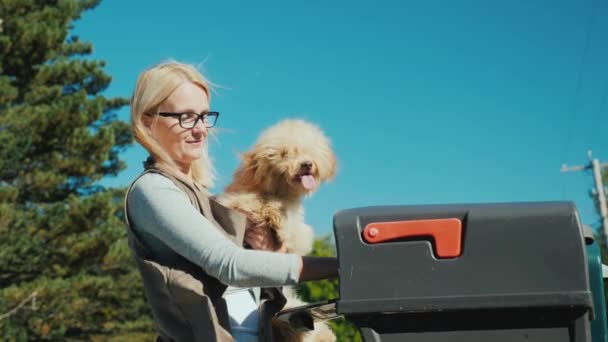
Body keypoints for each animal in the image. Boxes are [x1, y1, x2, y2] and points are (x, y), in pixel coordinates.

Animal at [217, 118, 342, 342]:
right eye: (286, 154)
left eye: (309, 151)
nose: (307, 164)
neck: (279, 192)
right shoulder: (236, 200)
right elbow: (253, 202)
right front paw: (271, 212)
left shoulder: (298, 232)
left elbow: (292, 230)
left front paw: (277, 218)